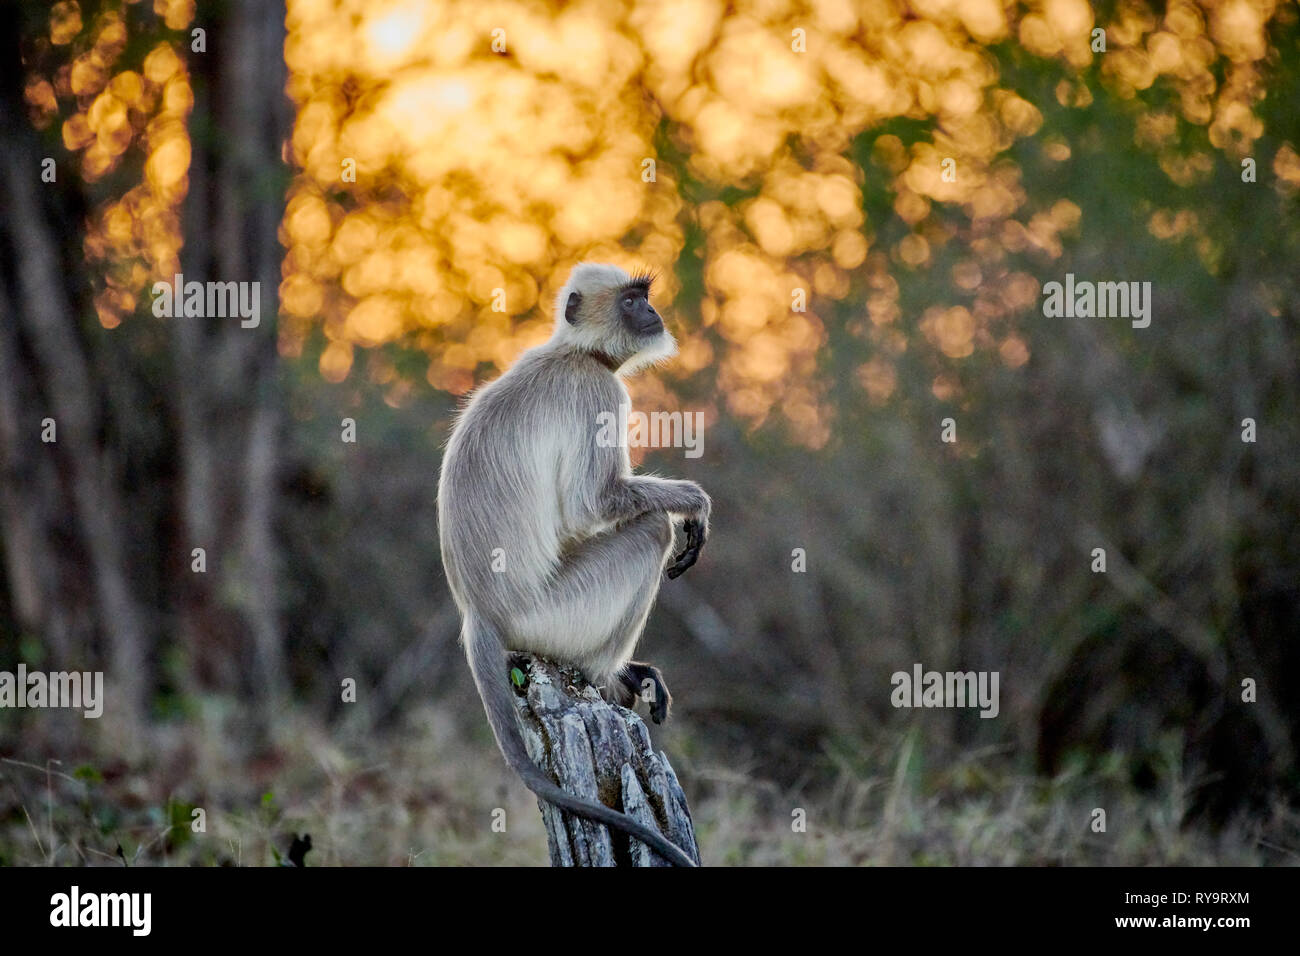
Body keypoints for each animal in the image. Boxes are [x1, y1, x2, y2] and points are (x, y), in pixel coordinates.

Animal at [441, 261, 717, 868]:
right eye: (632, 301)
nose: (652, 313)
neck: (576, 354)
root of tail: (478, 614)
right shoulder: (599, 393)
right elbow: (594, 504)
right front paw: (692, 502)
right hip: (551, 616)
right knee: (649, 531)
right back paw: (605, 675)